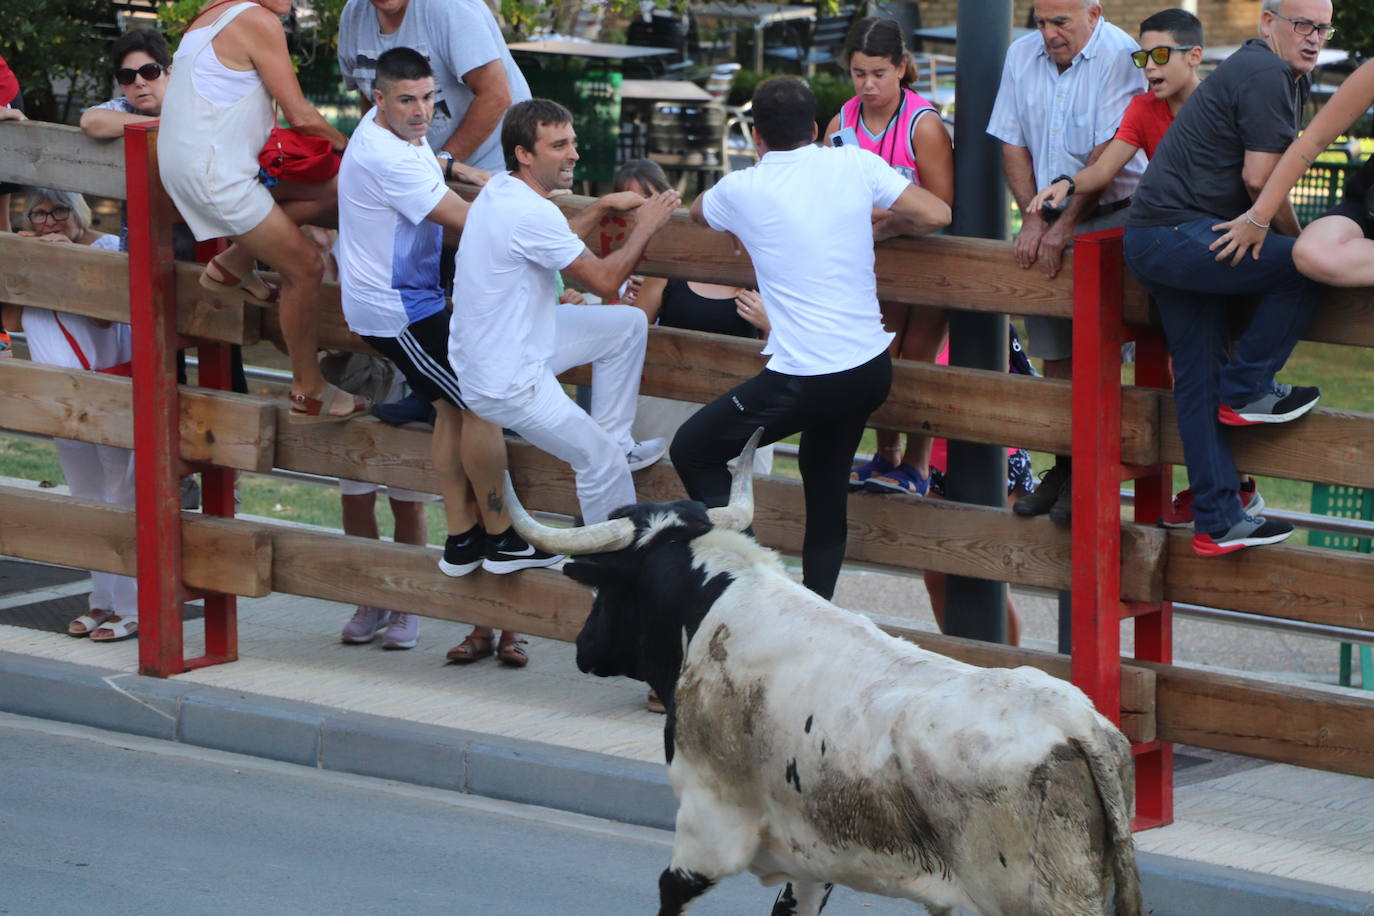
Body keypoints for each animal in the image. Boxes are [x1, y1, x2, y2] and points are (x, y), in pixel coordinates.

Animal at [502, 436, 1137, 916]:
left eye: (608, 586)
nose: (584, 646)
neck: (715, 608)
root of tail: (1078, 724)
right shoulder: (810, 860)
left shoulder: (708, 829)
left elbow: (667, 897)